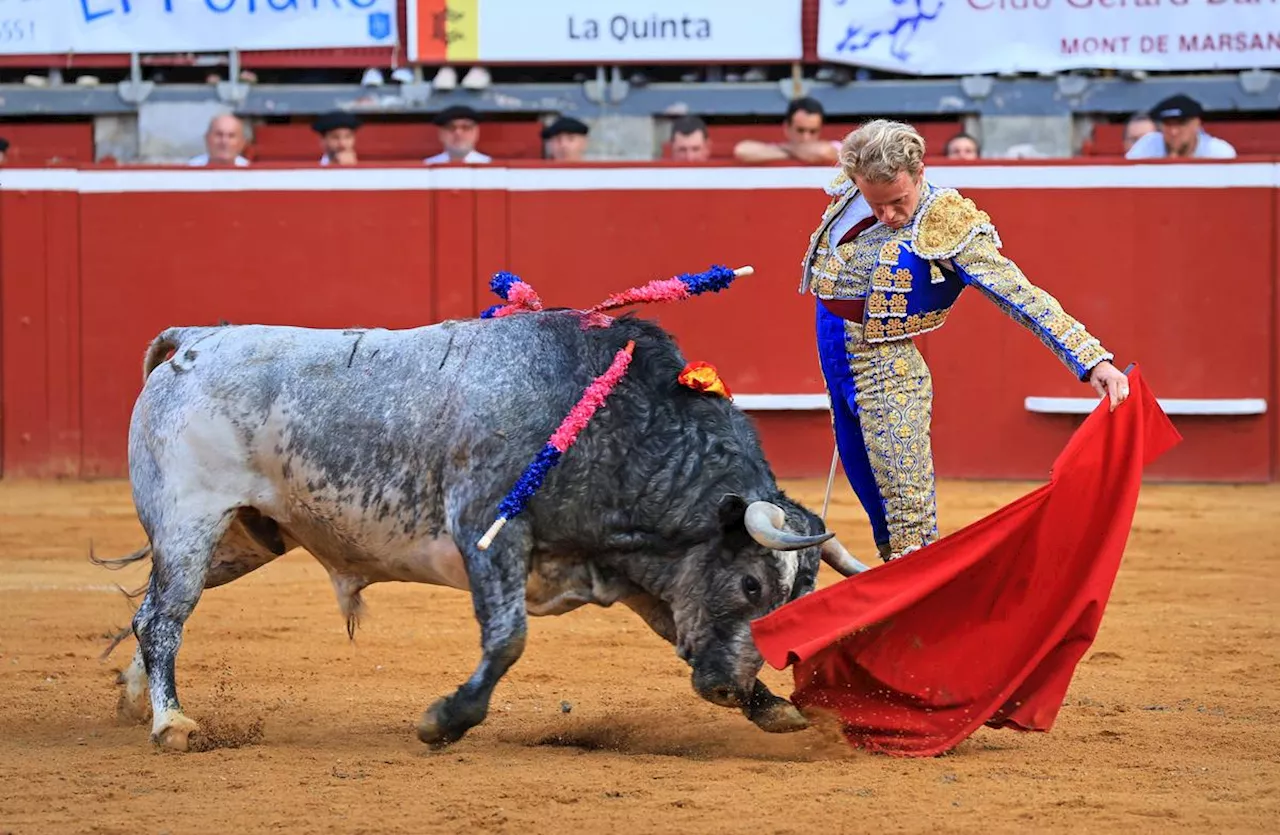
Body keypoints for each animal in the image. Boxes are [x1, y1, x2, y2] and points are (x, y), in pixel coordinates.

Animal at [94, 309, 865, 753]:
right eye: (751, 583)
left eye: (797, 599)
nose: (732, 689)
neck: (611, 425)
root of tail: (195, 341)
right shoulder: (486, 530)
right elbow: (508, 638)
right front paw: (447, 719)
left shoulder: (641, 571)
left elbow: (678, 625)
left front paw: (774, 709)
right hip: (191, 519)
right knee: (165, 616)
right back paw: (171, 723)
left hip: (243, 536)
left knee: (151, 611)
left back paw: (137, 700)